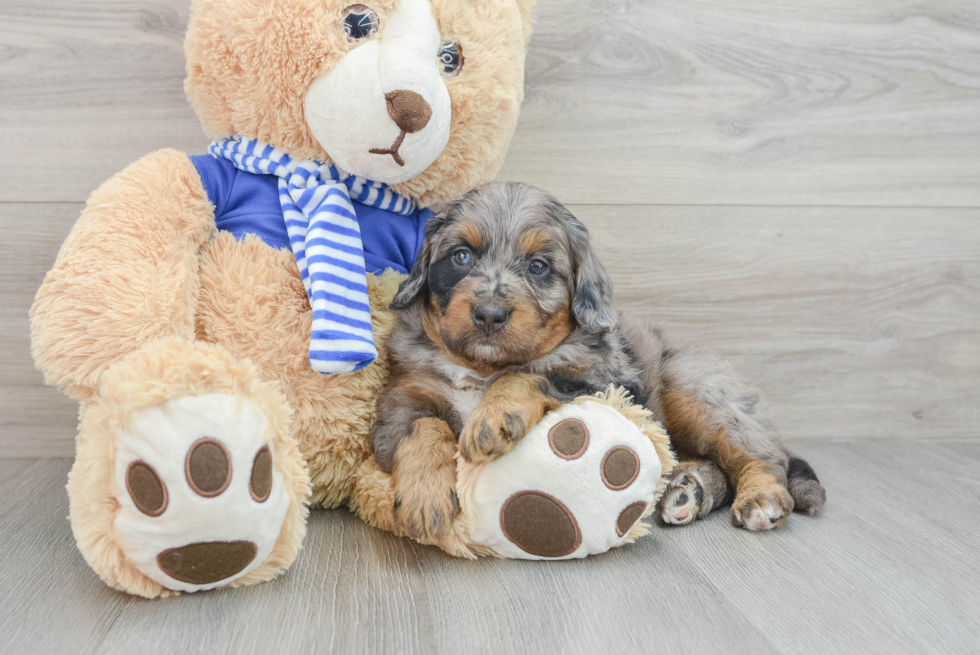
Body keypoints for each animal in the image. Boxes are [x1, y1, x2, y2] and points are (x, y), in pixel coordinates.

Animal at [372, 183, 824, 544]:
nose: (489, 315)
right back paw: (687, 492)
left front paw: (493, 417)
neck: (483, 369)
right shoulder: (403, 397)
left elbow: (534, 373)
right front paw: (425, 498)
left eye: (538, 266)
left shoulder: (605, 388)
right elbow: (424, 427)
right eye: (461, 256)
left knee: (763, 457)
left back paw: (759, 497)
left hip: (696, 387)